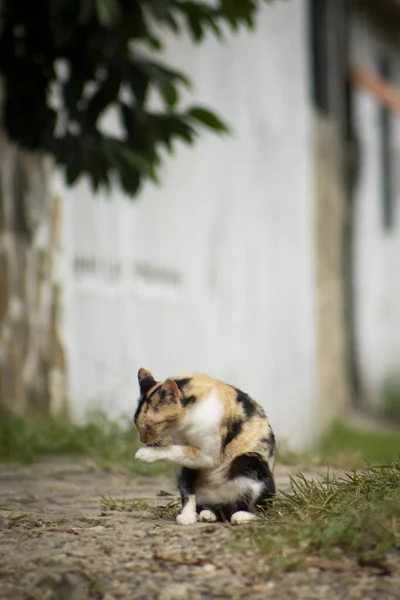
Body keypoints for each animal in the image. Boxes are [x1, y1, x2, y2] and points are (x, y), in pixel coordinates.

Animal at [134, 366, 276, 524]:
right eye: (136, 424)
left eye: (149, 426)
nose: (142, 440)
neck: (185, 424)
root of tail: (225, 504)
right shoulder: (185, 463)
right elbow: (186, 488)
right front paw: (187, 516)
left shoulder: (210, 456)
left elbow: (178, 450)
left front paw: (146, 454)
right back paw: (207, 514)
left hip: (250, 462)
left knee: (262, 509)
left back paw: (243, 516)